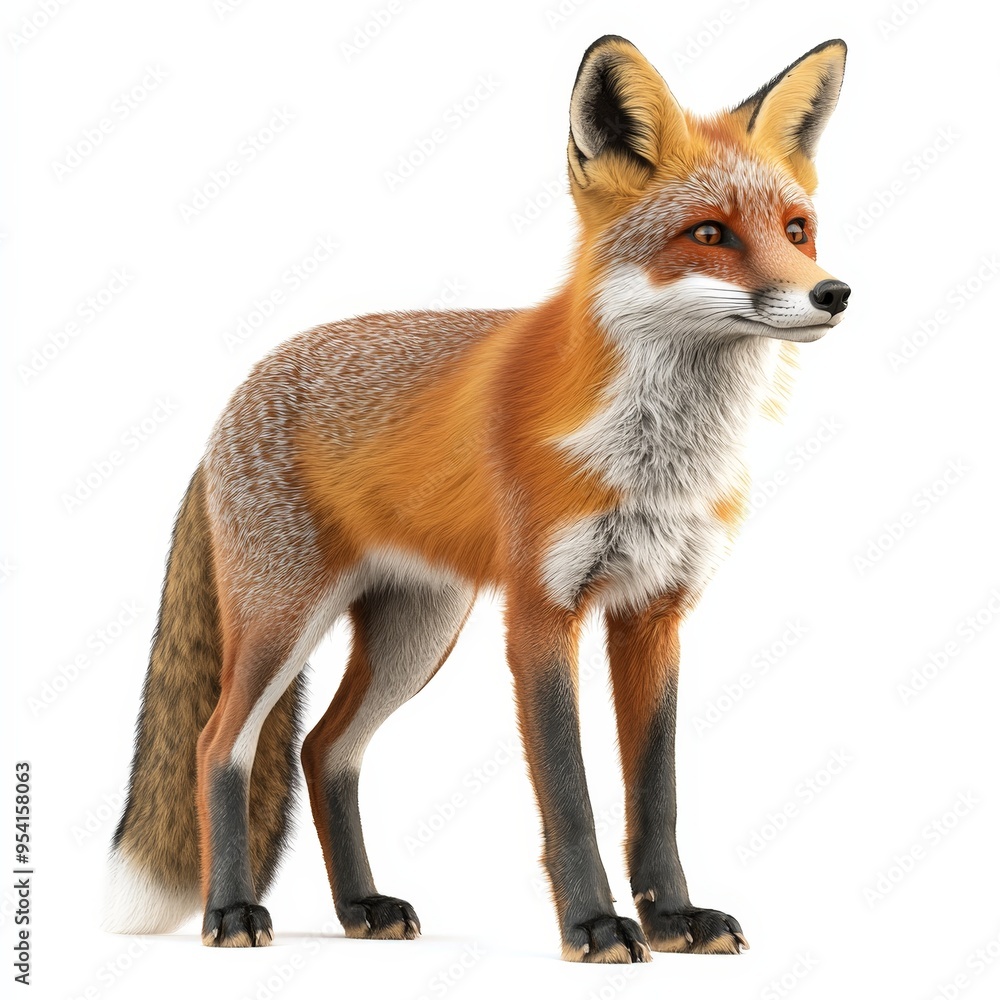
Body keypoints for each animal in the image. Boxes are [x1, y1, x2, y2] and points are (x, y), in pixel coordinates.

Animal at [105, 35, 850, 963]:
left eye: (797, 231)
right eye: (709, 234)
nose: (833, 292)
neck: (657, 459)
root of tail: (238, 394)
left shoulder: (655, 612)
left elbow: (658, 798)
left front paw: (674, 919)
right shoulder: (541, 611)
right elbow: (570, 798)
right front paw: (594, 926)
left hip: (417, 634)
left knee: (323, 749)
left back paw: (361, 907)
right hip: (285, 620)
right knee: (220, 744)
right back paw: (231, 911)